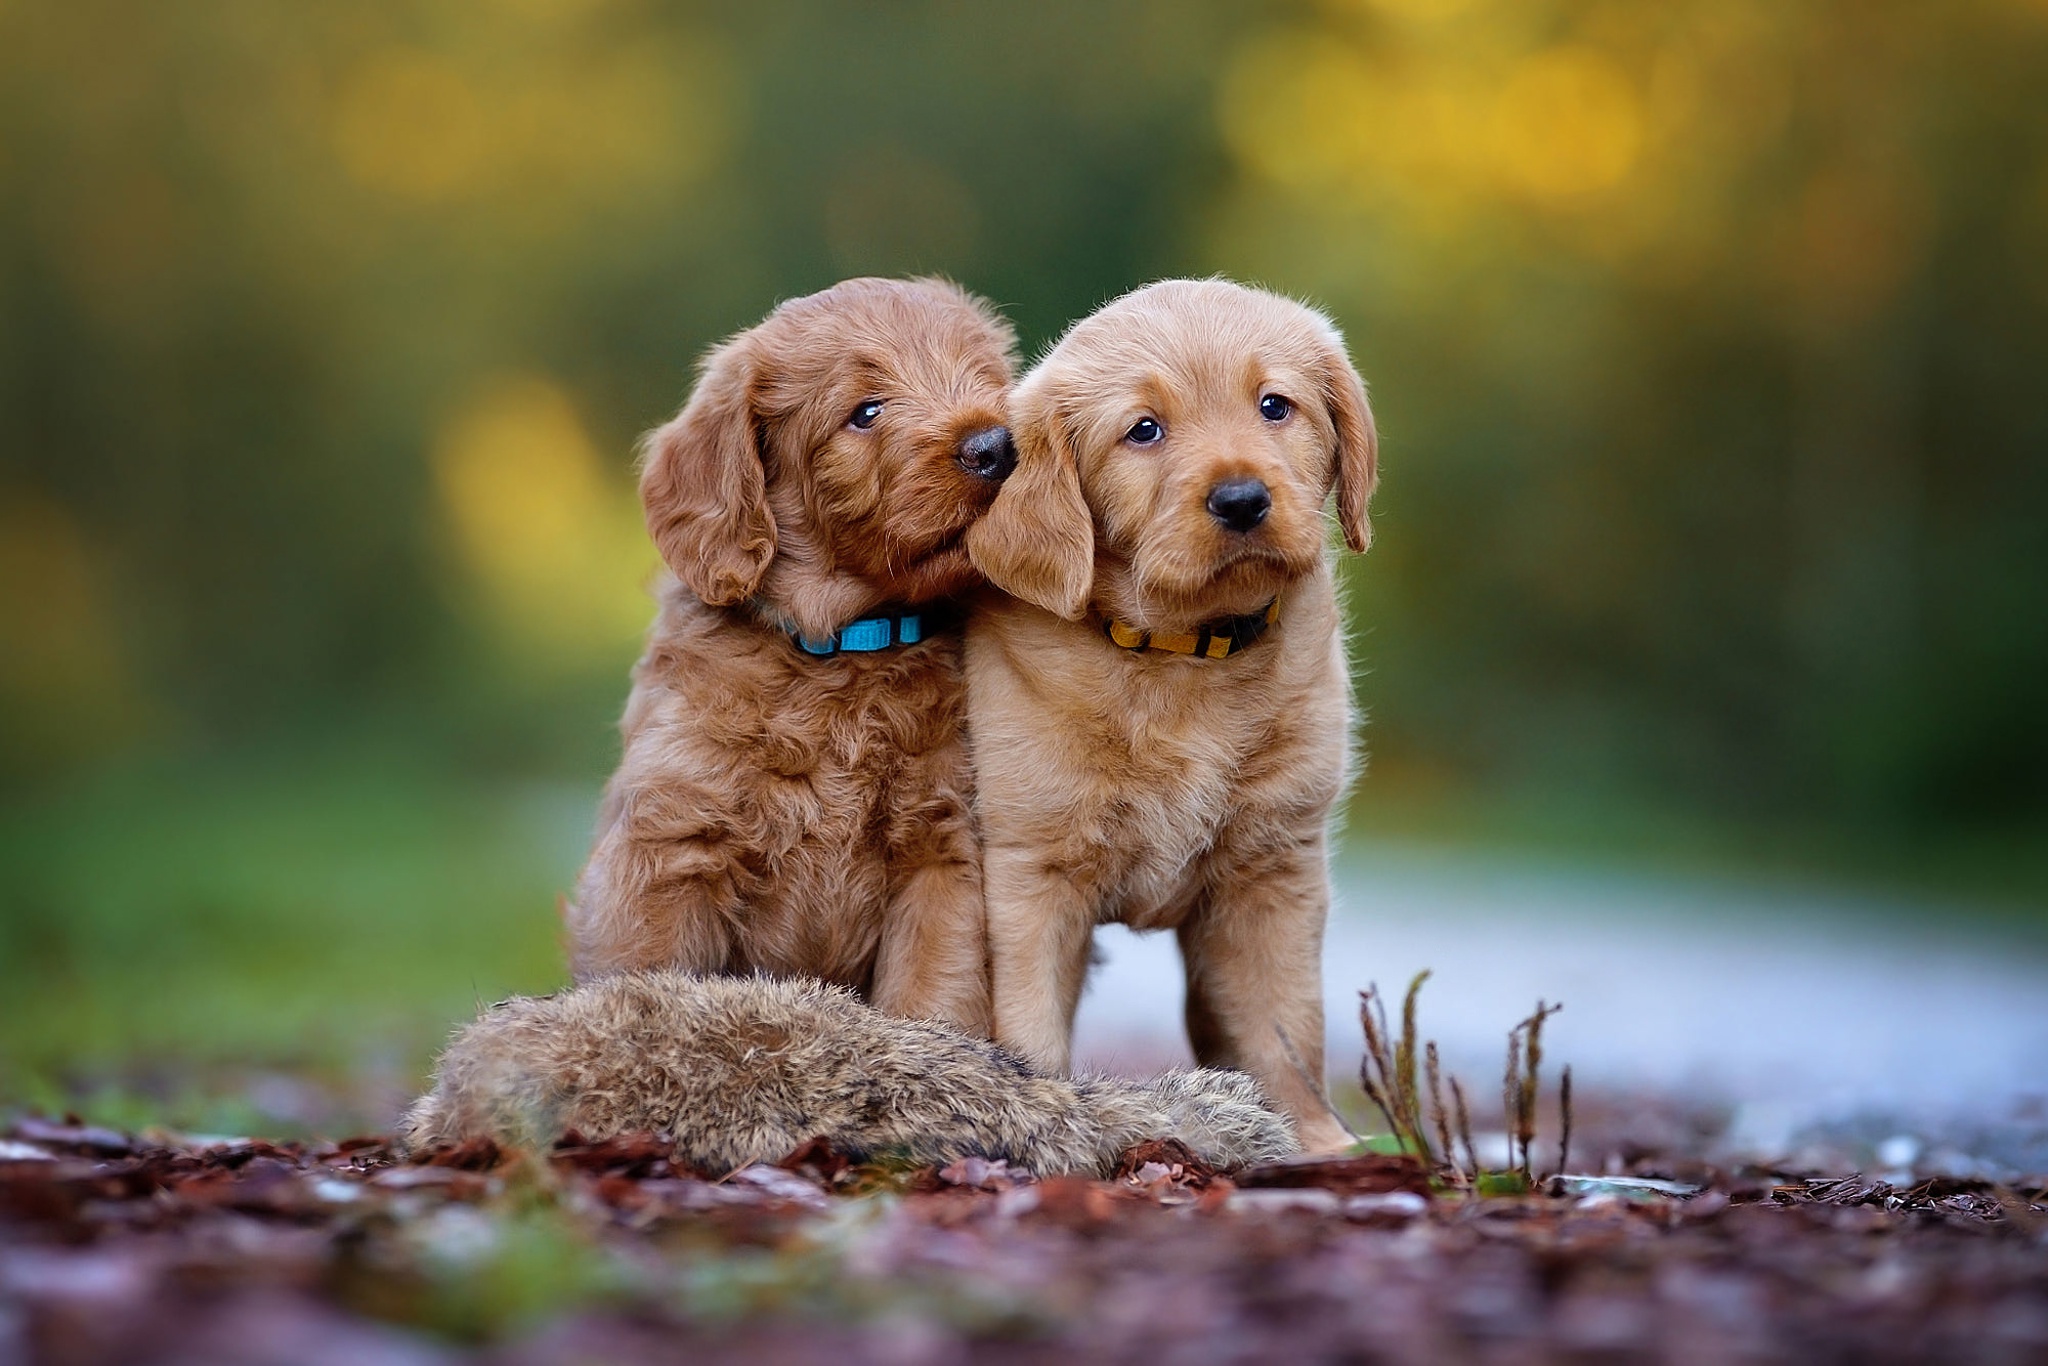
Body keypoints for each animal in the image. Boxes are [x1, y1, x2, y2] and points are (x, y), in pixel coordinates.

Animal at [565, 274, 1019, 1036]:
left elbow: (933, 997)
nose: (995, 446)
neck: (843, 652)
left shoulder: (942, 855)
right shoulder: (669, 848)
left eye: (987, 385)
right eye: (865, 412)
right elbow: (649, 971)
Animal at [966, 278, 1384, 1155]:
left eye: (1274, 405)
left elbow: (1285, 1024)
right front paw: (1050, 1118)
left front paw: (1315, 1143)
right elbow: (1030, 1024)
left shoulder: (1275, 867)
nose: (1243, 498)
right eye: (1144, 430)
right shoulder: (1029, 874)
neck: (1183, 654)